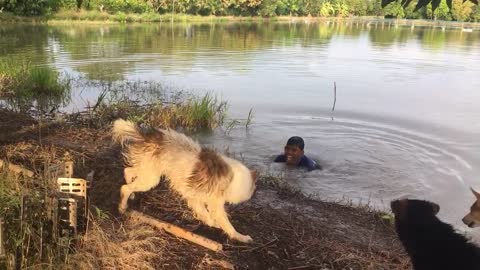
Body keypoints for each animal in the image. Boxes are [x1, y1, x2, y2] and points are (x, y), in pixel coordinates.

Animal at [112, 118, 256, 243]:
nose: (251, 194)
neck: (233, 178)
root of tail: (148, 136)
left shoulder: (194, 197)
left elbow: (204, 213)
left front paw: (210, 222)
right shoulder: (214, 204)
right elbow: (225, 223)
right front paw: (240, 236)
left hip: (149, 171)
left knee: (127, 171)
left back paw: (132, 194)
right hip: (150, 178)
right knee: (124, 188)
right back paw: (122, 206)